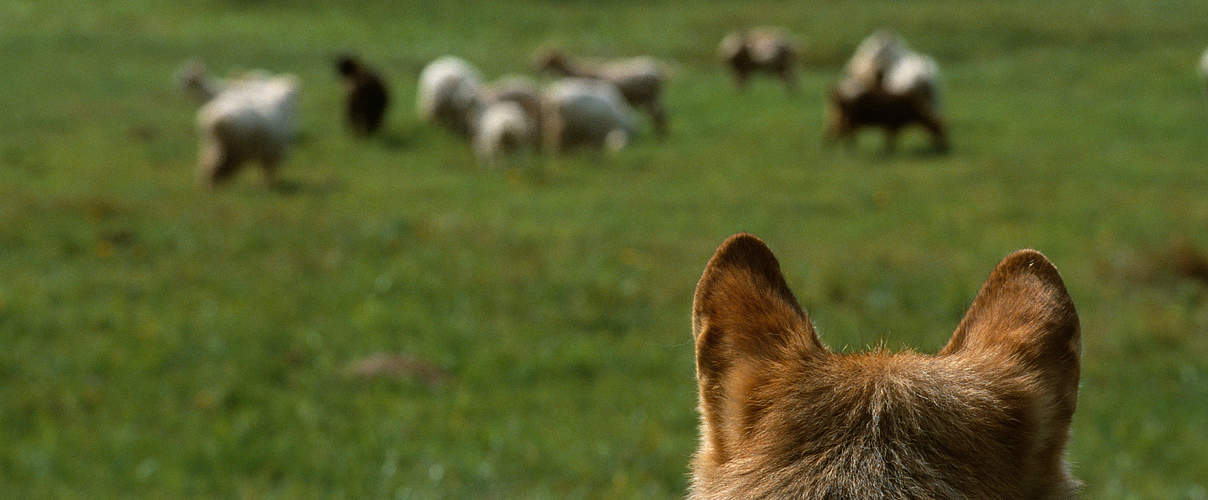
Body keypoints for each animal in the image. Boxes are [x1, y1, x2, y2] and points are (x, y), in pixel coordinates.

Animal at [538, 49, 671, 136]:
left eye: (547, 59)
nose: (535, 66)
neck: (579, 72)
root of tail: (658, 71)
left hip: (650, 97)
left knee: (659, 114)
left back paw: (661, 133)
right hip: (650, 98)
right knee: (659, 114)